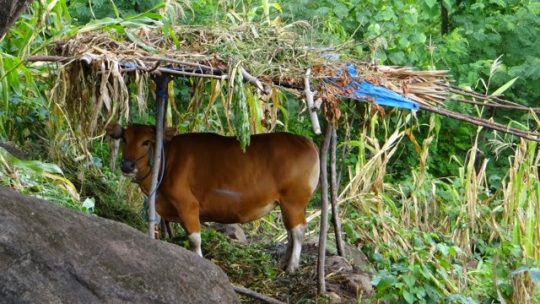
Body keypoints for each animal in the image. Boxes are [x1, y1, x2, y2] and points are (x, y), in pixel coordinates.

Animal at [106, 123, 320, 274]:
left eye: (146, 142)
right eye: (124, 139)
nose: (127, 165)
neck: (166, 162)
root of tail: (308, 143)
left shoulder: (188, 205)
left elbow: (194, 239)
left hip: (294, 202)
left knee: (298, 231)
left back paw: (292, 267)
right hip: (287, 205)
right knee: (291, 231)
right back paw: (284, 263)